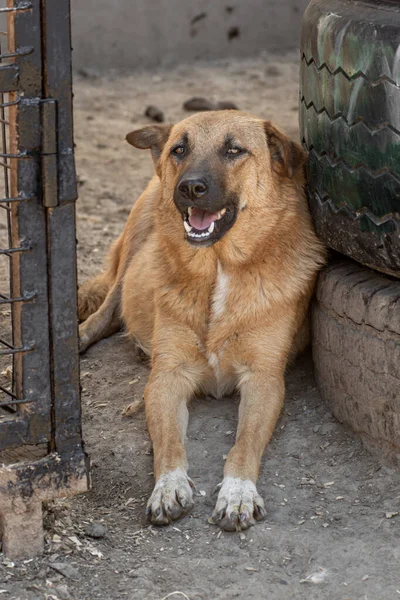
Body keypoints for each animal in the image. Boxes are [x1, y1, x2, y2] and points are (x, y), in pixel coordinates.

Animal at [79, 111, 326, 528]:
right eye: (179, 149)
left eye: (234, 150)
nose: (190, 187)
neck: (218, 267)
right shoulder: (167, 378)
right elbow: (168, 443)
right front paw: (168, 486)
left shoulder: (264, 380)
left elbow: (244, 444)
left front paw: (238, 492)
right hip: (140, 232)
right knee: (108, 309)